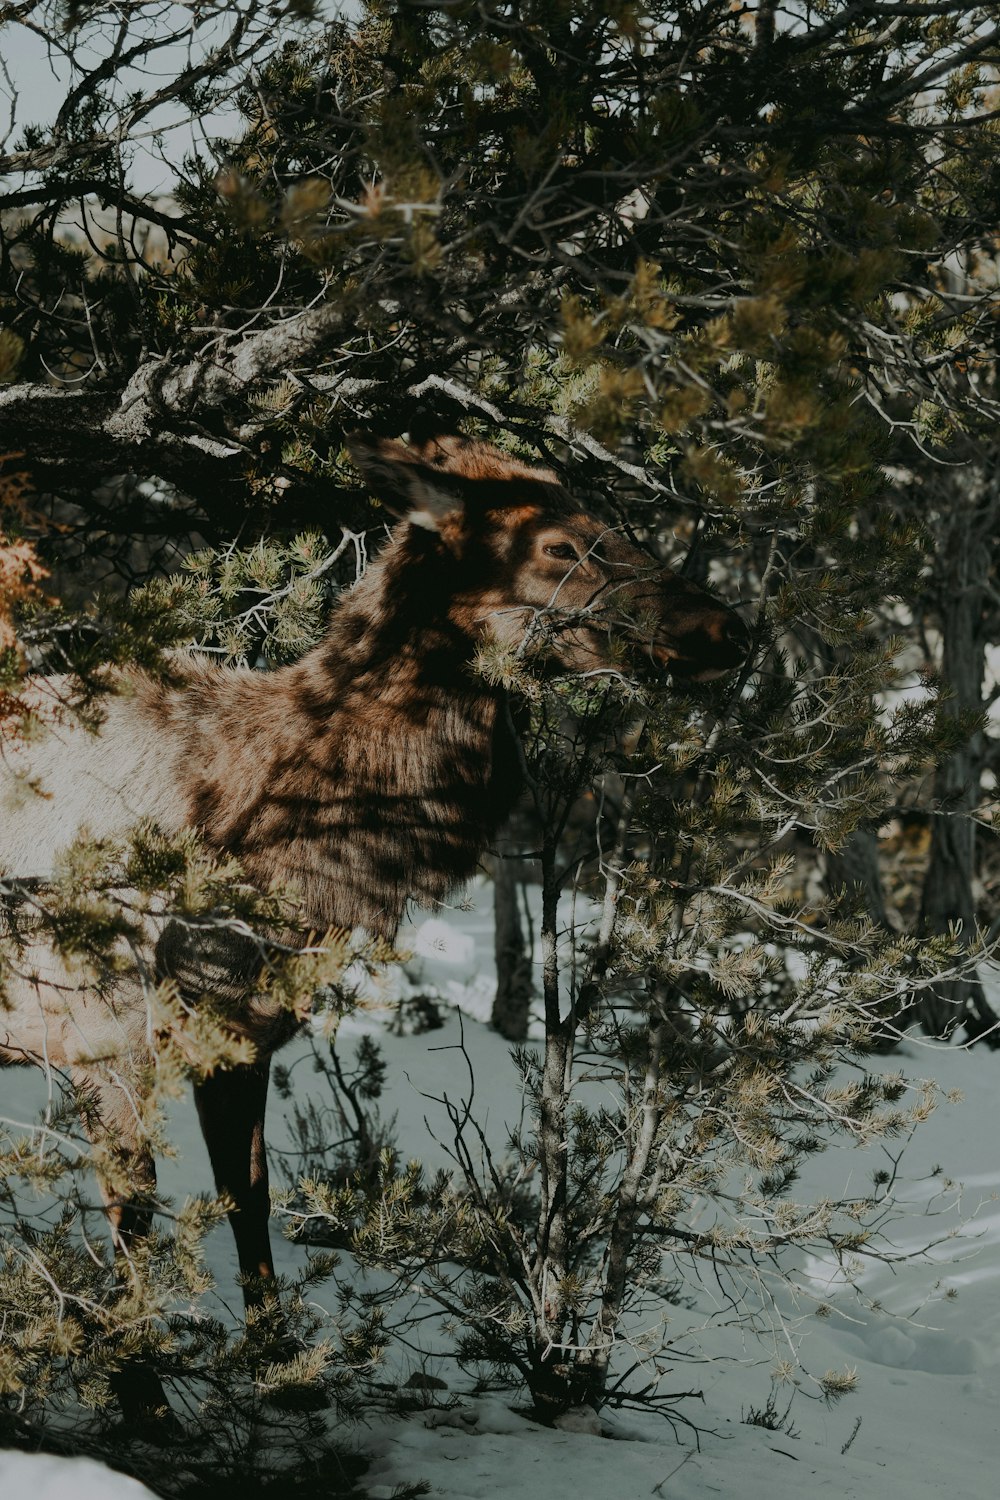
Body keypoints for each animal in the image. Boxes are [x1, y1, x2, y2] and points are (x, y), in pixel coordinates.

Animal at [0, 432, 746, 1404]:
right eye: (558, 546)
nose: (728, 629)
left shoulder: (240, 1032)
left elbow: (250, 1198)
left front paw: (281, 1366)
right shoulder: (100, 1025)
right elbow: (135, 1212)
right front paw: (142, 1394)